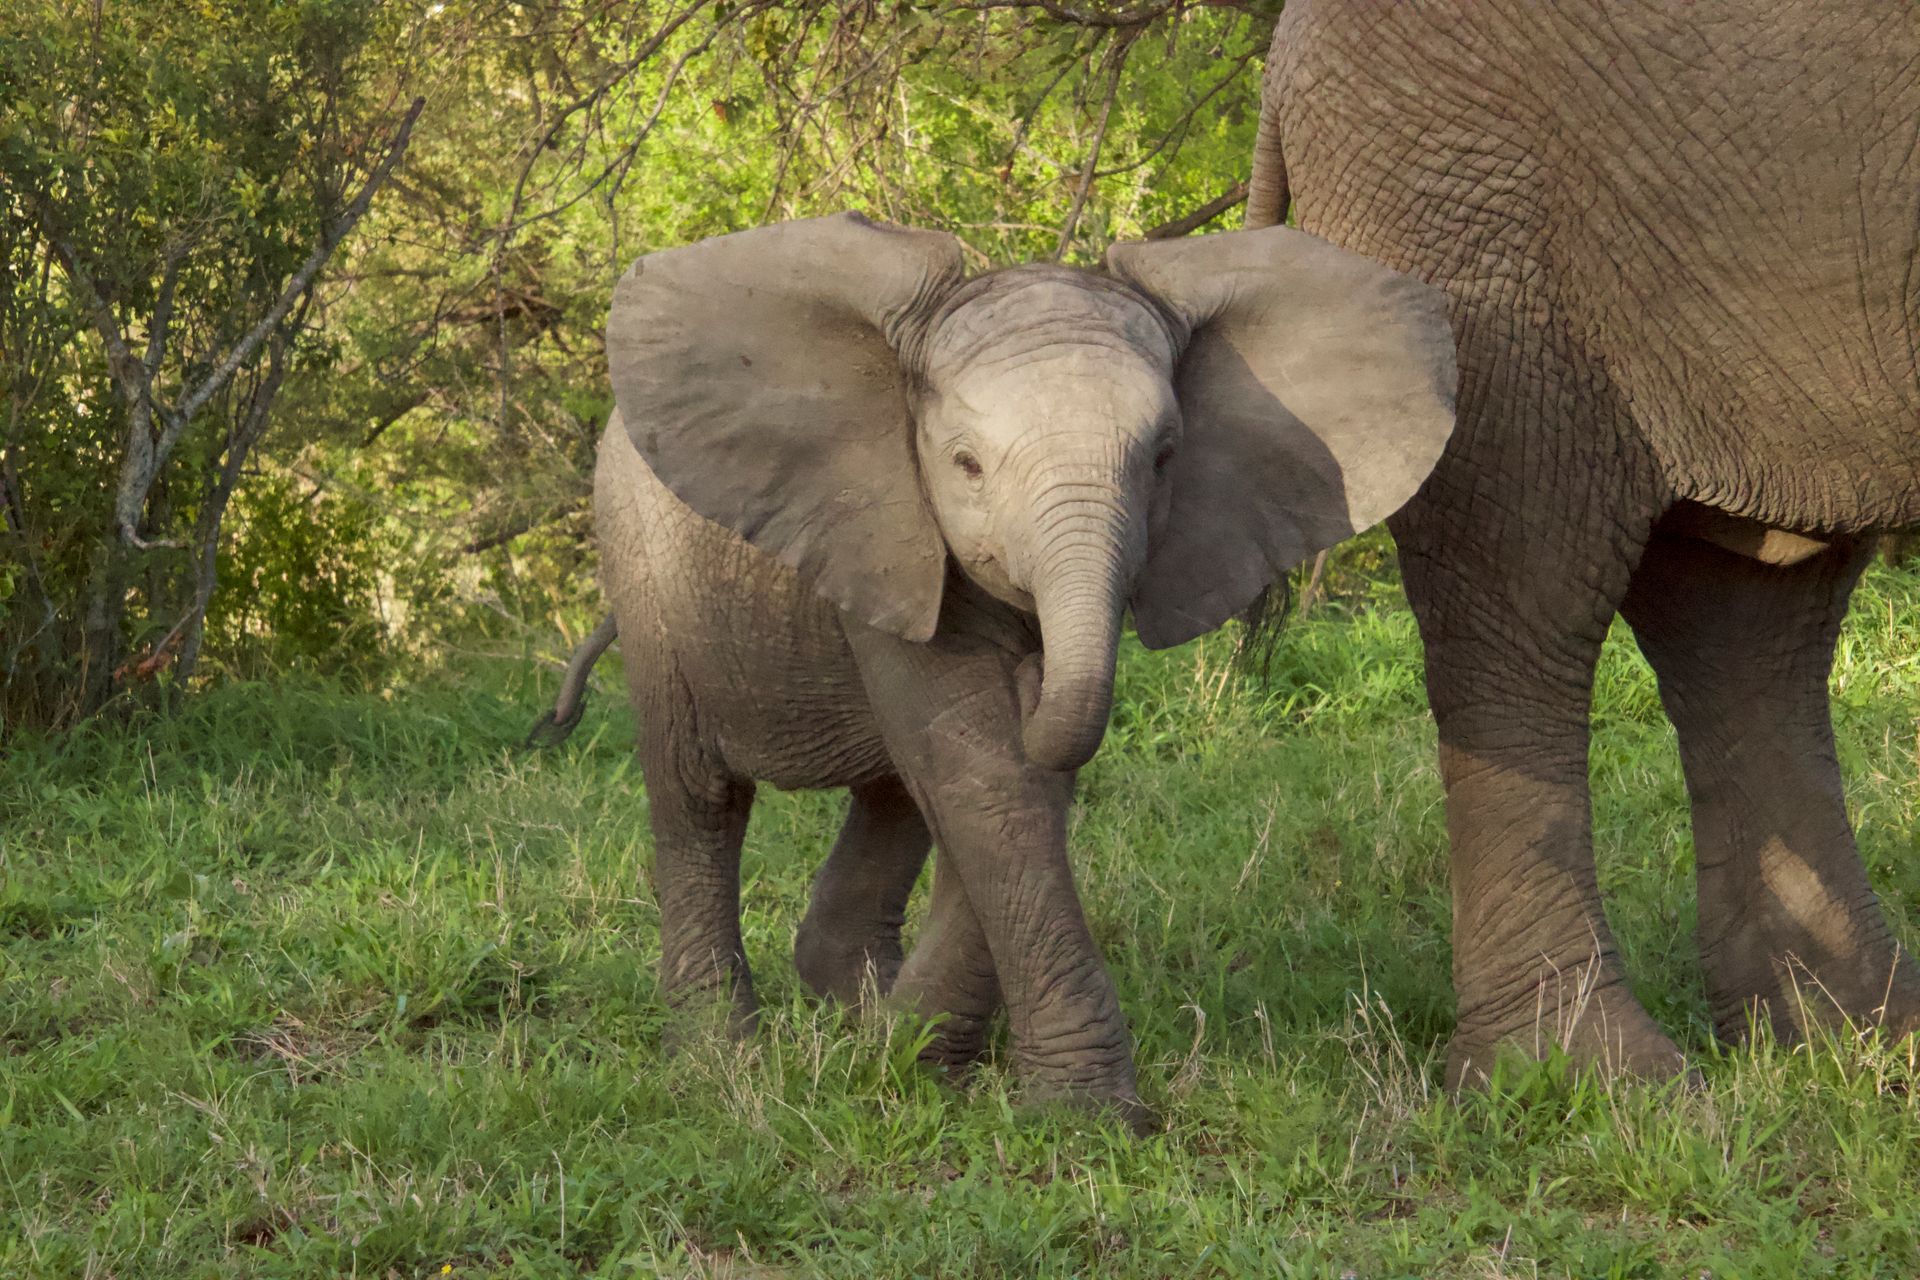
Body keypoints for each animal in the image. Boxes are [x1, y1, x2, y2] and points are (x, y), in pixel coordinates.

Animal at [531, 212, 1456, 1120]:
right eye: (966, 465)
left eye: (1164, 458)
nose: (1034, 665)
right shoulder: (882, 523)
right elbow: (978, 766)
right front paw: (1081, 1117)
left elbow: (997, 776)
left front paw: (919, 1059)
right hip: (642, 562)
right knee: (701, 795)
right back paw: (721, 1060)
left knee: (894, 798)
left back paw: (863, 1013)